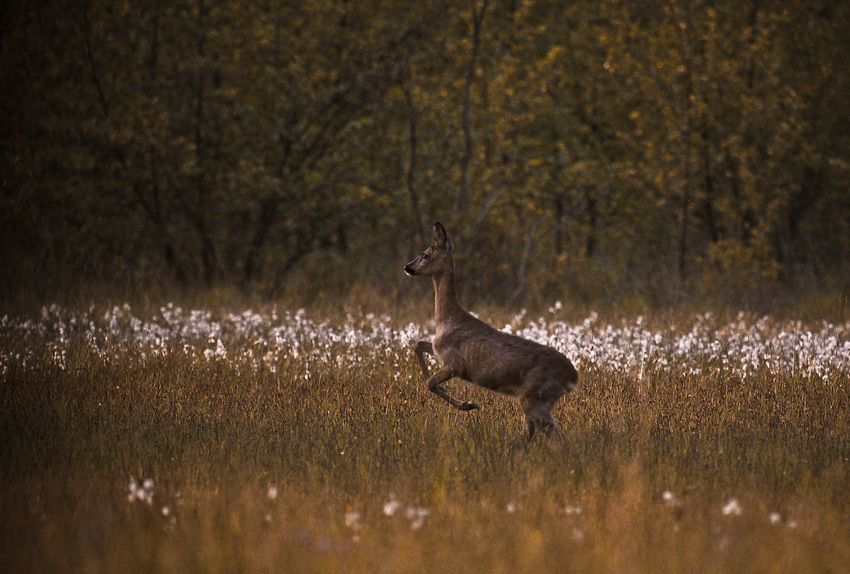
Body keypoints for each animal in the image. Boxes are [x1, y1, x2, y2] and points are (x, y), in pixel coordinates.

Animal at [402, 223, 576, 444]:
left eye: (425, 254)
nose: (407, 267)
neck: (446, 318)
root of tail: (573, 377)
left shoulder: (456, 363)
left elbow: (429, 382)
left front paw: (467, 404)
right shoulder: (439, 352)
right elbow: (419, 346)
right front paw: (459, 399)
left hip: (535, 396)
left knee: (552, 433)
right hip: (535, 400)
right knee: (535, 432)